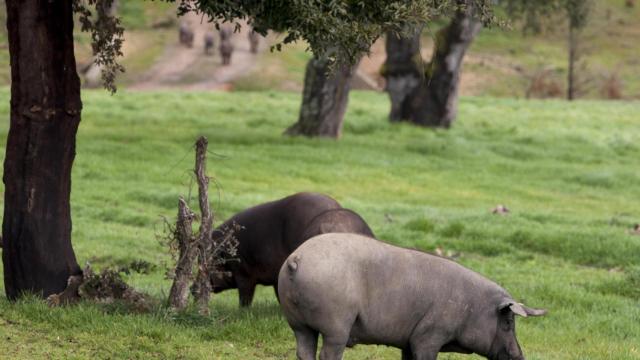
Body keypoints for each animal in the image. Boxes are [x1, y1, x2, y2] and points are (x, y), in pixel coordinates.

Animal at [278, 233, 544, 360]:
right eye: (508, 321)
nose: (520, 356)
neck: (472, 307)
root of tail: (296, 260)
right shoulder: (429, 335)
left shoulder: (408, 340)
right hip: (337, 323)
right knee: (329, 352)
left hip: (297, 322)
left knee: (304, 351)